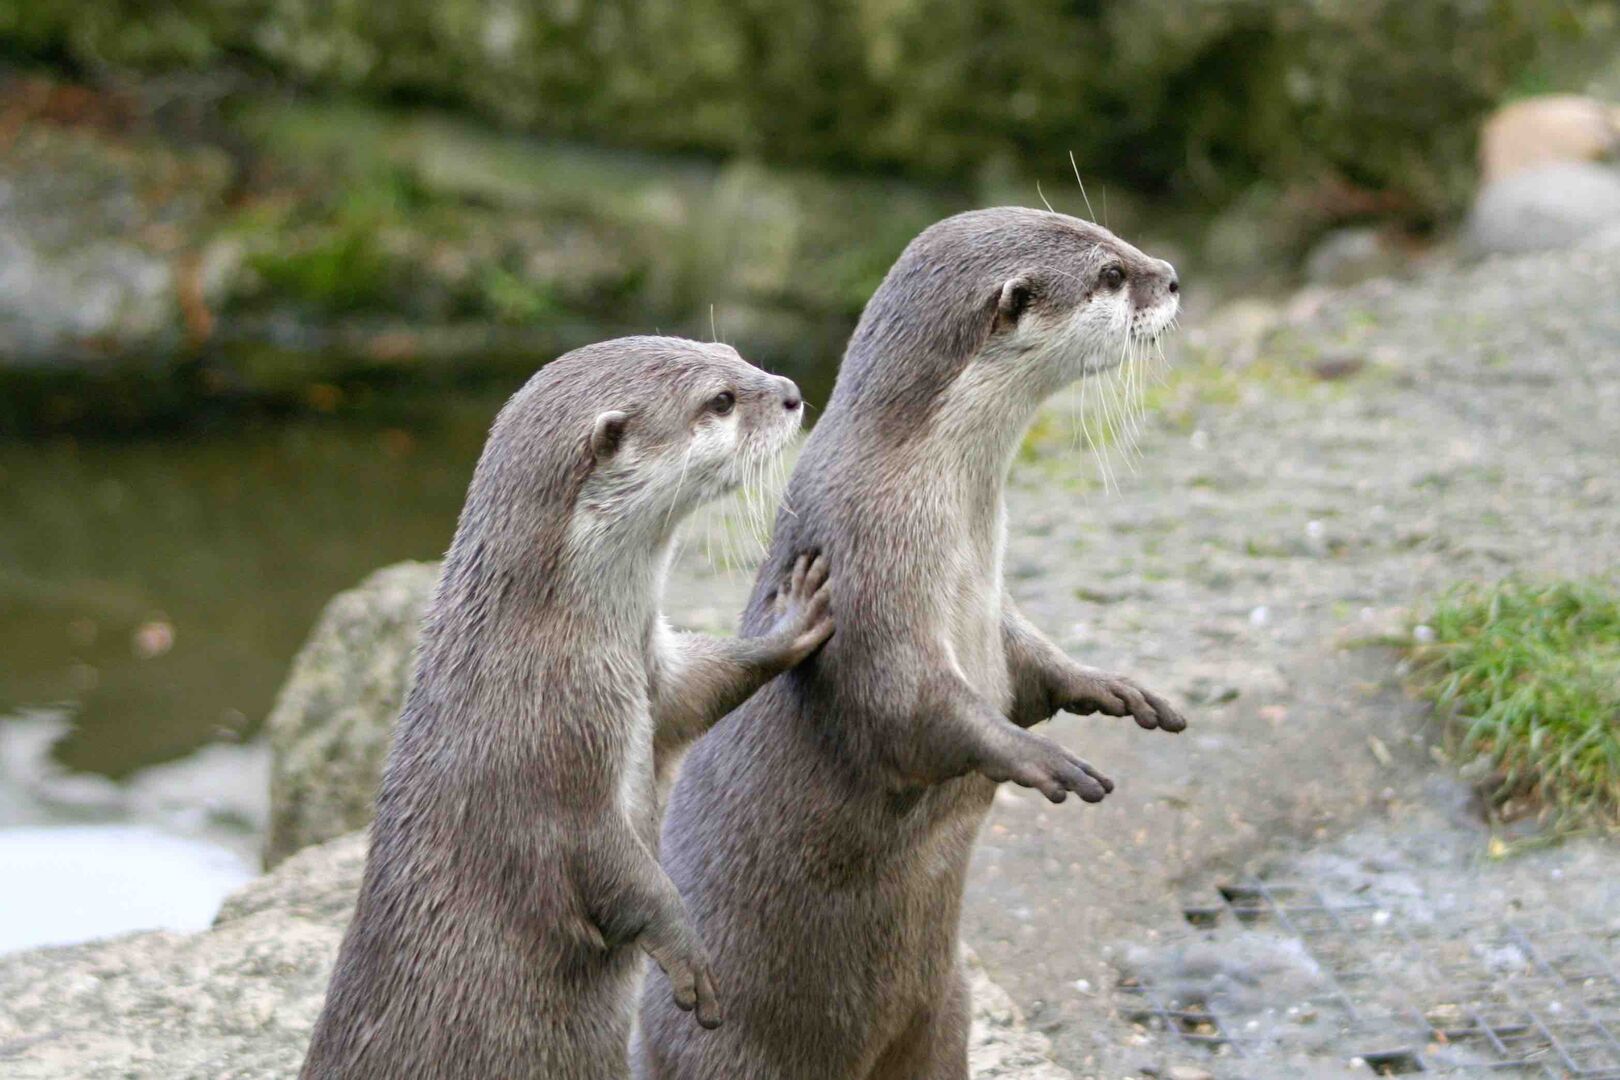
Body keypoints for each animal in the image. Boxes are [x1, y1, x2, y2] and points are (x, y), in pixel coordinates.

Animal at [300, 337, 834, 1080]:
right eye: (721, 400)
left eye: (730, 351)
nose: (790, 393)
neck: (542, 648)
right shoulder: (546, 758)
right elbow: (609, 866)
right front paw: (688, 955)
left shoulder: (652, 672)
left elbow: (703, 686)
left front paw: (789, 619)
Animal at [637, 209, 1187, 1079]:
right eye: (1108, 275)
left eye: (1114, 236)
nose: (1169, 276)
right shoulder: (865, 577)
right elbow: (908, 708)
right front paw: (1039, 758)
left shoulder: (992, 613)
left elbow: (1032, 667)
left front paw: (1109, 686)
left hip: (943, 1009)